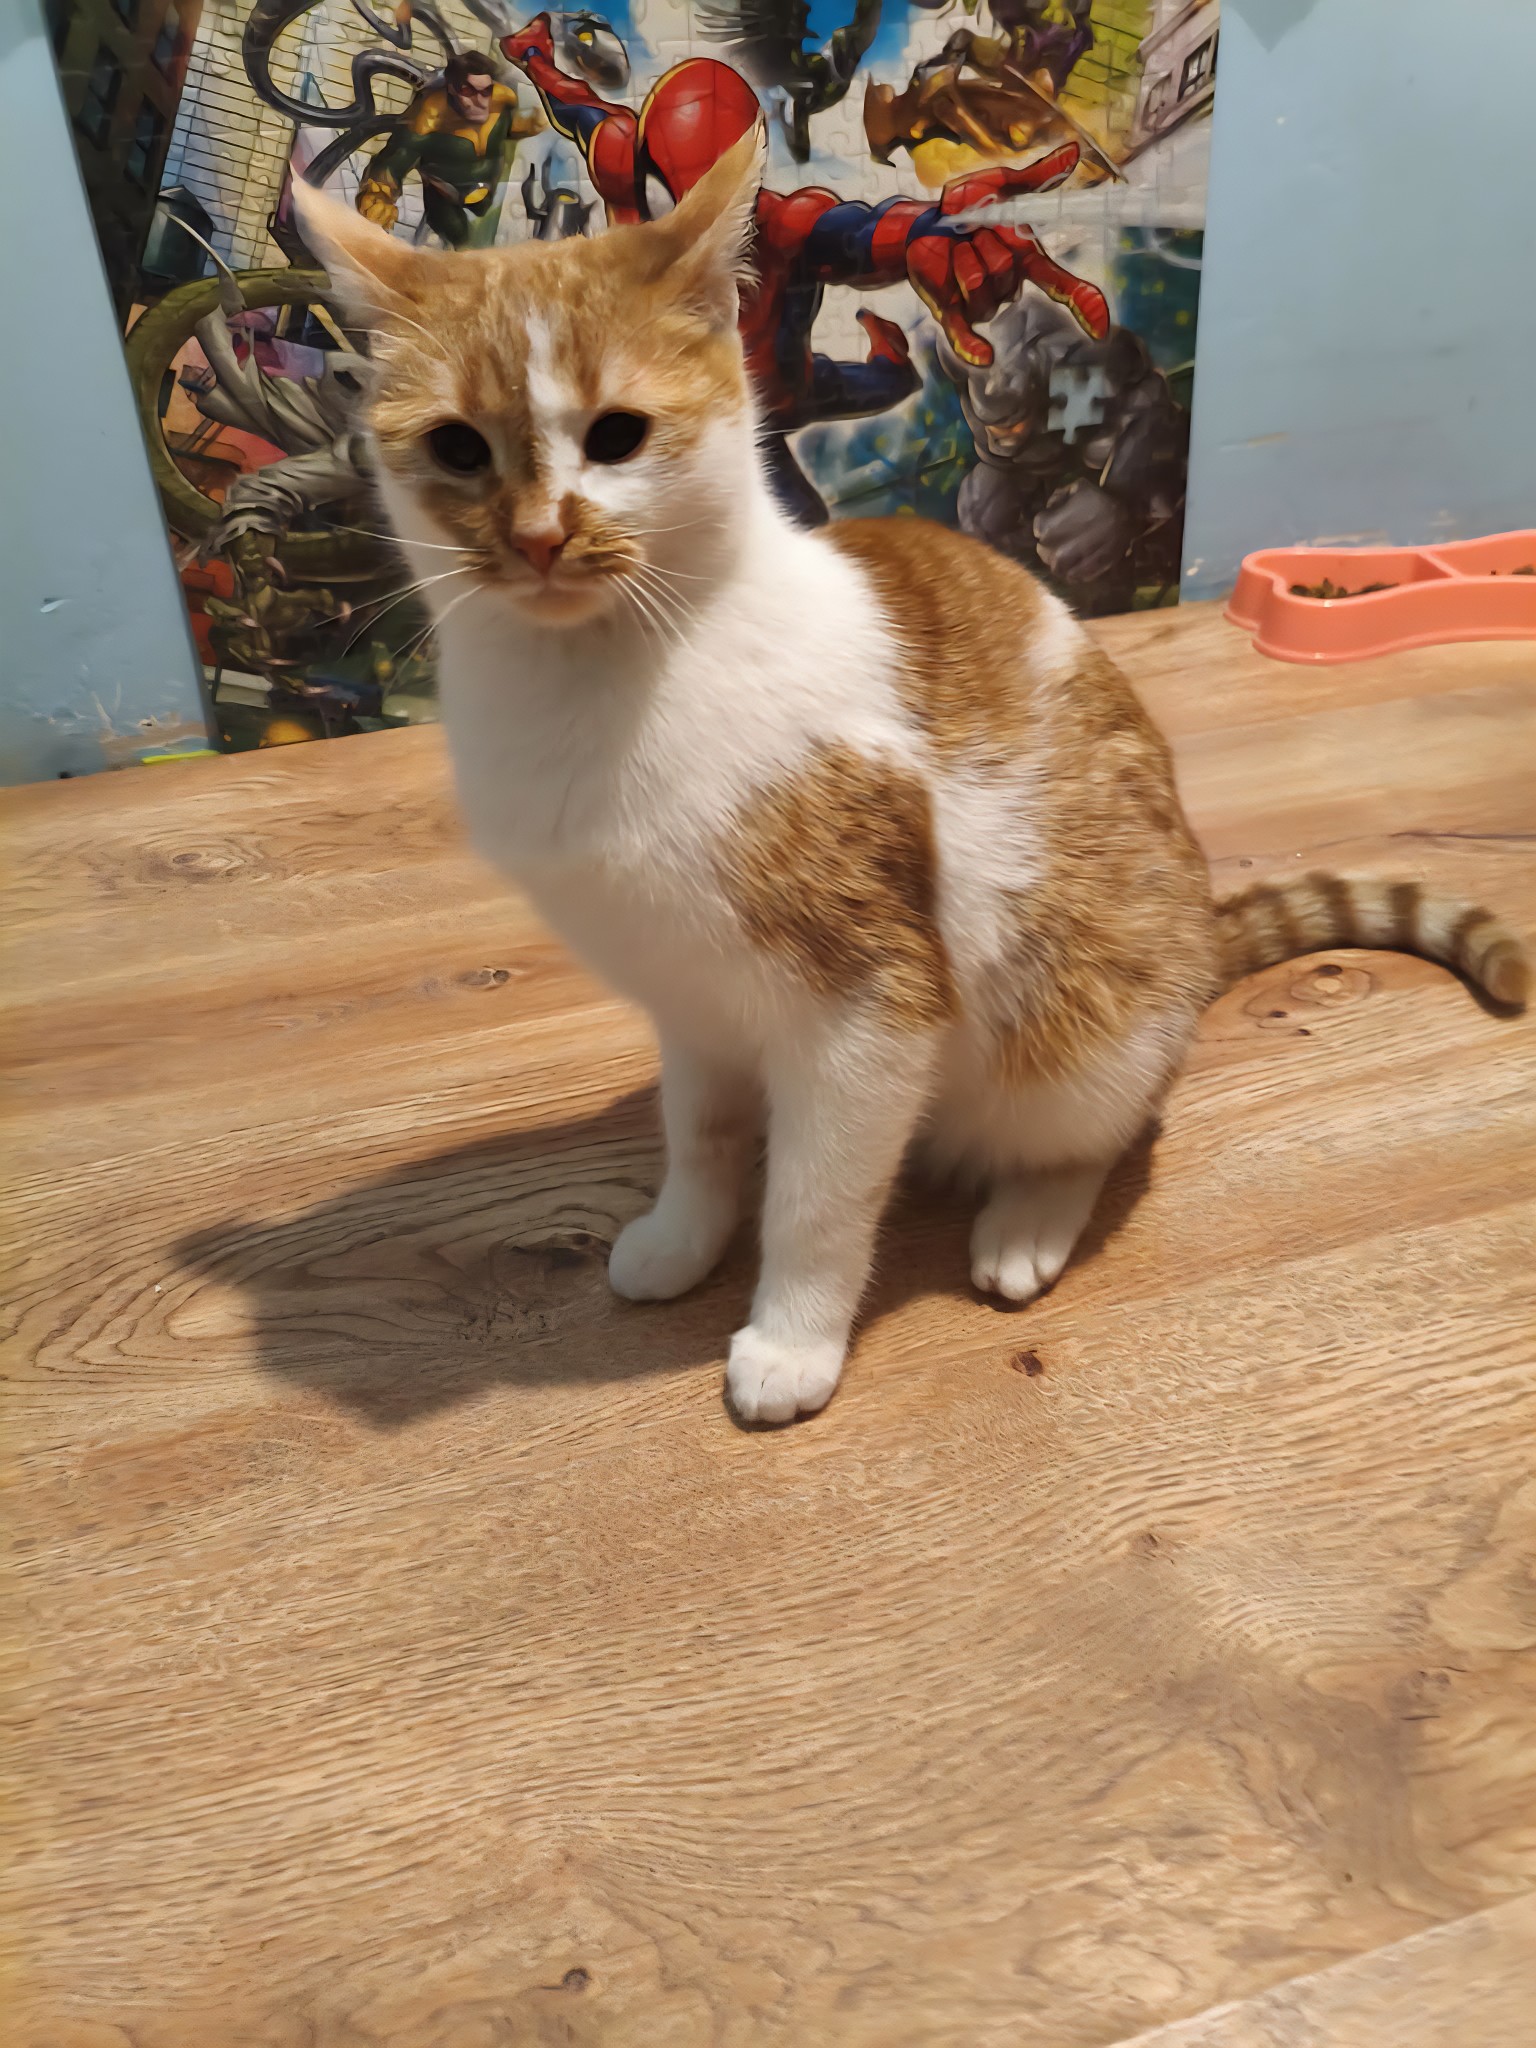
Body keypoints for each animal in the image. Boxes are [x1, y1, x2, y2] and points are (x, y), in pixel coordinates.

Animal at [292, 134, 1529, 1423]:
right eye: (458, 447)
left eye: (617, 436)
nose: (537, 537)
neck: (607, 684)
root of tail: (1198, 929)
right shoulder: (689, 999)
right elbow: (702, 1137)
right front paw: (684, 1236)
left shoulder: (870, 1009)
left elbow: (817, 1201)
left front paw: (792, 1338)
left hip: (1078, 1021)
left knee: (1099, 1121)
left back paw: (1029, 1218)